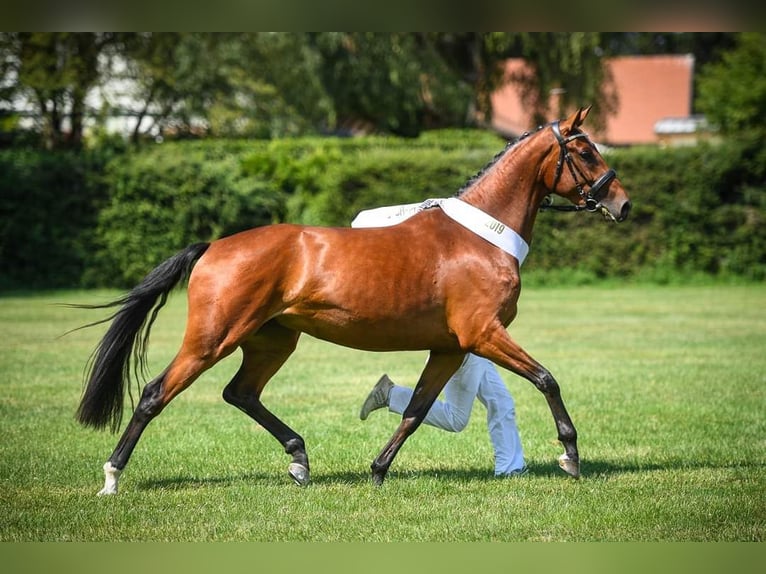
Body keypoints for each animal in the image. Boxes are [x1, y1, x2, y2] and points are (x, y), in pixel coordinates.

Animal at [75, 106, 631, 495]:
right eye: (585, 152)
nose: (622, 203)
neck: (479, 238)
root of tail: (213, 246)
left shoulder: (451, 347)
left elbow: (416, 410)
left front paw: (378, 472)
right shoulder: (484, 335)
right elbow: (547, 379)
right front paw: (570, 456)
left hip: (272, 341)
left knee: (241, 393)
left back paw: (299, 460)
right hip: (213, 338)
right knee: (155, 394)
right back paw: (111, 477)